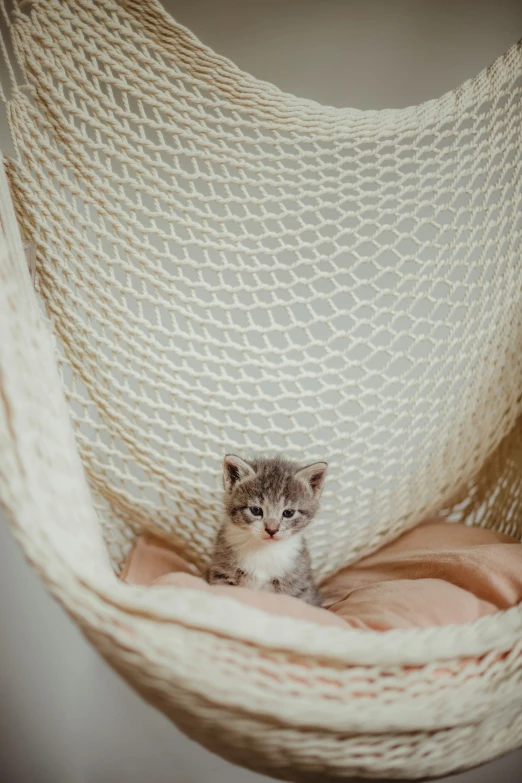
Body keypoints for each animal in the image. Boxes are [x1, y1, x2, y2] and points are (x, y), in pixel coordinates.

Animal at [206, 456, 324, 608]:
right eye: (256, 510)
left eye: (288, 513)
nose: (271, 530)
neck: (263, 550)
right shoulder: (223, 572)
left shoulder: (296, 583)